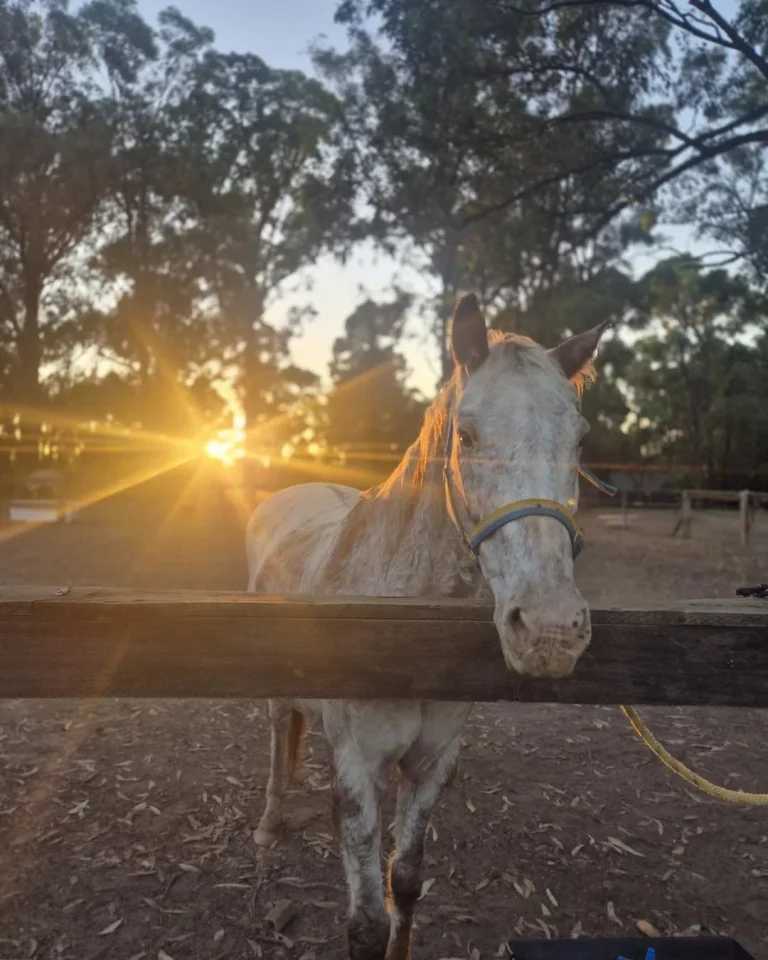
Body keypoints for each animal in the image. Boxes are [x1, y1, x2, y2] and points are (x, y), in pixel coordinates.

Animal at [246, 293, 609, 960]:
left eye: (579, 440)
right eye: (466, 435)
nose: (550, 629)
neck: (406, 627)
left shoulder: (433, 761)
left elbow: (407, 881)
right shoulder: (358, 766)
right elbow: (365, 922)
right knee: (279, 735)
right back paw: (269, 823)